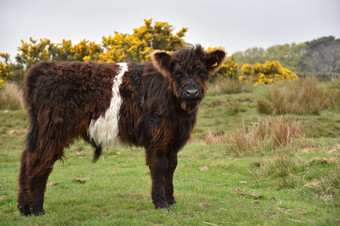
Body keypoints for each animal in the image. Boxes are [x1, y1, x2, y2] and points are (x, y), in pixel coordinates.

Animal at [17, 44, 226, 215]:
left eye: (202, 71)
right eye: (177, 72)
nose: (192, 92)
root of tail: (42, 67)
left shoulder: (173, 138)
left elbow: (171, 166)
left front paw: (172, 200)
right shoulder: (157, 137)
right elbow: (159, 166)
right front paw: (161, 204)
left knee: (27, 158)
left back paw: (24, 208)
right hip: (52, 130)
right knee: (39, 161)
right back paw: (37, 209)